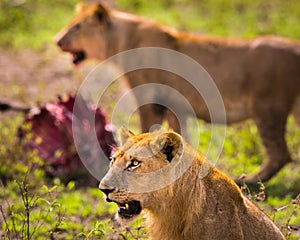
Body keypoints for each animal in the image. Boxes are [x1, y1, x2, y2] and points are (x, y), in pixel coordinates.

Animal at [55, 1, 300, 183]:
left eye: (76, 27)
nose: (56, 40)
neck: (122, 41)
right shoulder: (175, 105)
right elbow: (179, 137)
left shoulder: (149, 98)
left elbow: (147, 131)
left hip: (268, 109)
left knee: (280, 153)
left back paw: (248, 180)